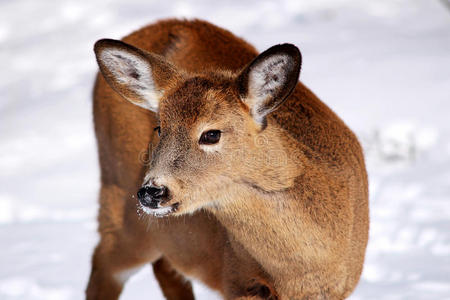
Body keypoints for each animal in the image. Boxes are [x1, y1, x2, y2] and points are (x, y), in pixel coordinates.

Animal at [88, 19, 370, 300]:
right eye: (160, 128)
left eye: (211, 134)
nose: (151, 192)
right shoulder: (237, 280)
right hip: (119, 196)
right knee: (103, 266)